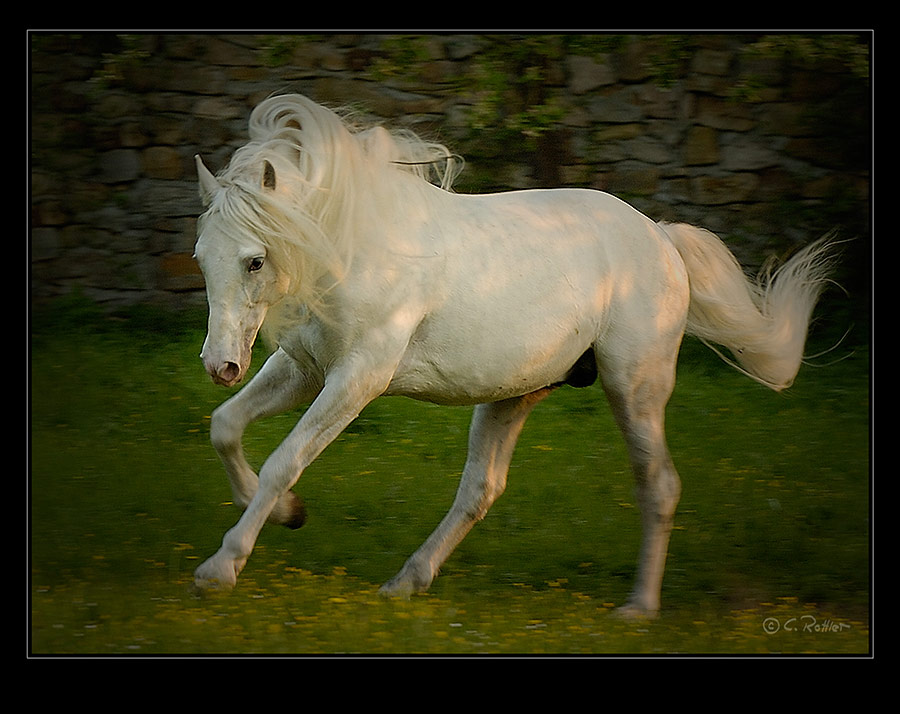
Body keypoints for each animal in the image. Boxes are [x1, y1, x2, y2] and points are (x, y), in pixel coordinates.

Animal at [192, 96, 836, 616]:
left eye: (254, 260)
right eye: (201, 257)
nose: (220, 366)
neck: (354, 247)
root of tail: (660, 237)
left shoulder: (358, 378)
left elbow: (284, 460)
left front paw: (222, 567)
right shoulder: (305, 370)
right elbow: (225, 427)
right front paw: (286, 513)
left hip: (635, 388)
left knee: (659, 485)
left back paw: (638, 608)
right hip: (514, 394)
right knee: (481, 491)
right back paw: (406, 583)